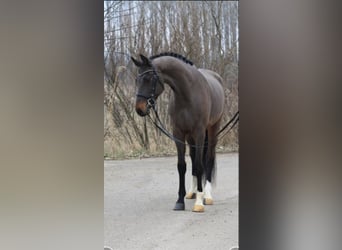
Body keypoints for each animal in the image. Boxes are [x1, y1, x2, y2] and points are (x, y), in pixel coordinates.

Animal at [131, 52, 224, 213]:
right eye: (137, 80)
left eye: (149, 79)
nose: (140, 109)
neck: (188, 93)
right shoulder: (178, 134)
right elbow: (182, 166)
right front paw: (180, 201)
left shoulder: (199, 133)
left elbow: (200, 165)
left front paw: (199, 203)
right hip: (191, 138)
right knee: (193, 158)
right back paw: (192, 192)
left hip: (212, 130)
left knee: (208, 159)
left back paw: (207, 195)